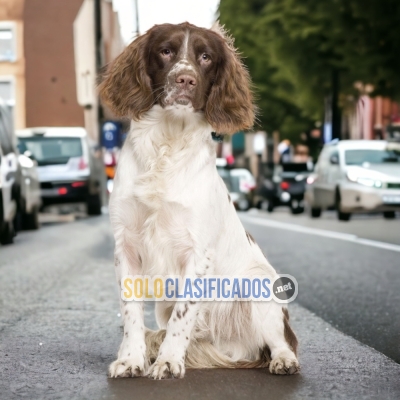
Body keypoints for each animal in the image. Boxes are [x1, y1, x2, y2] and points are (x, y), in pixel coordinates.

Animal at [100, 21, 300, 378]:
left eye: (206, 57)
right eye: (166, 51)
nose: (185, 79)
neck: (167, 144)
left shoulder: (197, 252)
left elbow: (183, 316)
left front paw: (168, 361)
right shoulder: (126, 246)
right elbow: (131, 313)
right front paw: (132, 359)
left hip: (260, 285)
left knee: (283, 341)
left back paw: (283, 360)